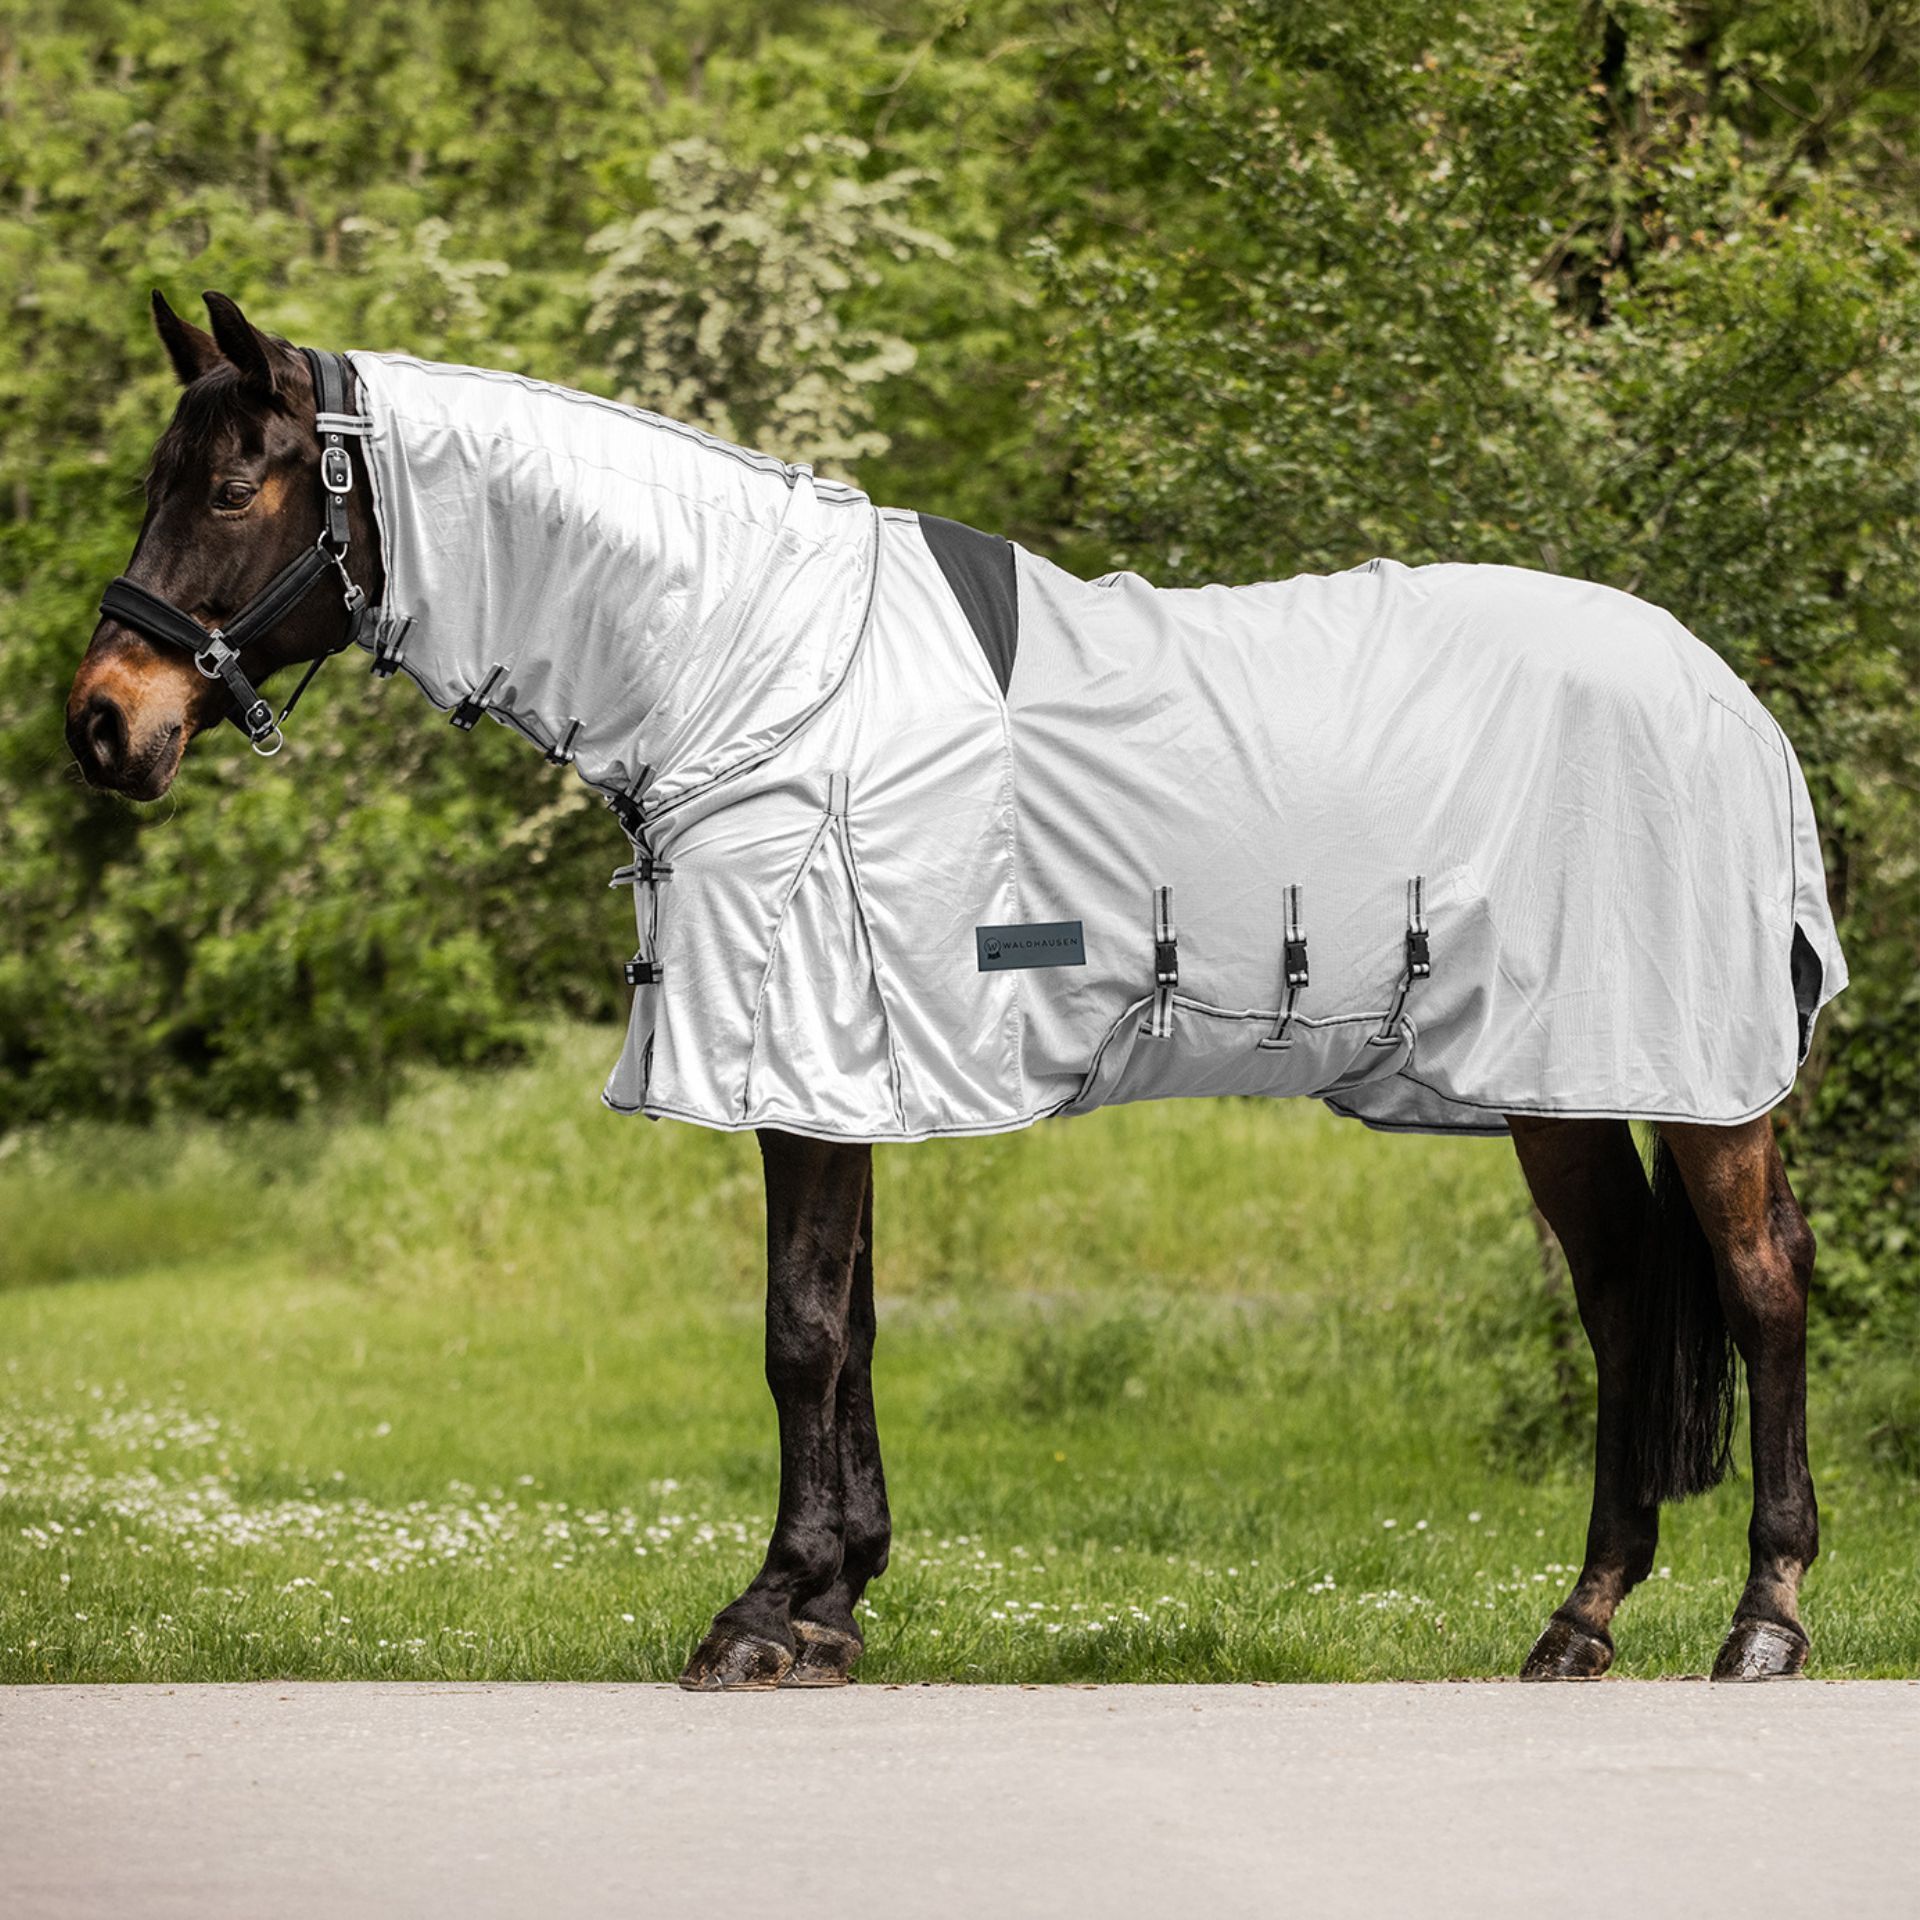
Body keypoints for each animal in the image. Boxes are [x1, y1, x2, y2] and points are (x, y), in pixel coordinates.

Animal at [66, 290, 1841, 1688]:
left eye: (232, 481)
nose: (102, 722)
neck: (758, 669)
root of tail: (1727, 696)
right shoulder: (843, 1067)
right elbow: (849, 1329)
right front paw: (833, 1602)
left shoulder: (800, 1051)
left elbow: (796, 1333)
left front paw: (765, 1616)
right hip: (1560, 1084)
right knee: (1624, 1303)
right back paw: (1581, 1622)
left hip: (1696, 1082)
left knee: (1760, 1287)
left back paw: (1763, 1621)